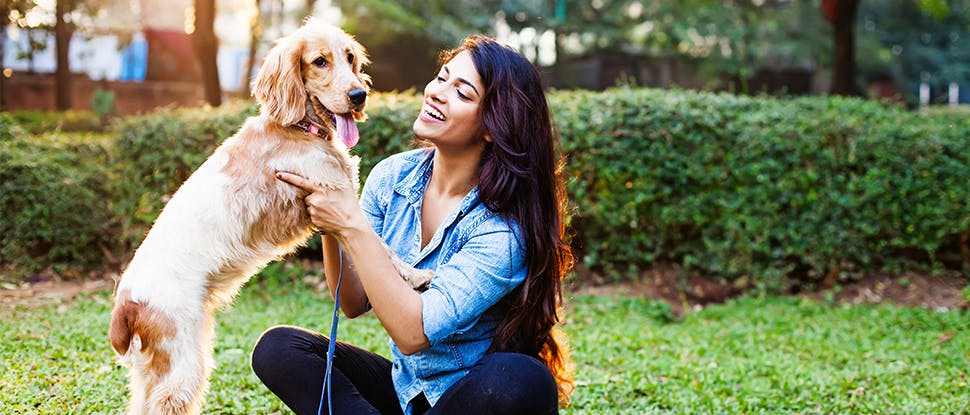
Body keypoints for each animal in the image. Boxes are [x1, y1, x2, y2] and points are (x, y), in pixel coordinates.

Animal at [107, 17, 432, 414]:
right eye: (319, 61)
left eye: (350, 57)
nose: (359, 95)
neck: (297, 128)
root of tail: (126, 301)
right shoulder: (339, 200)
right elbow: (384, 250)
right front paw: (416, 276)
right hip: (181, 367)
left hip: (153, 370)